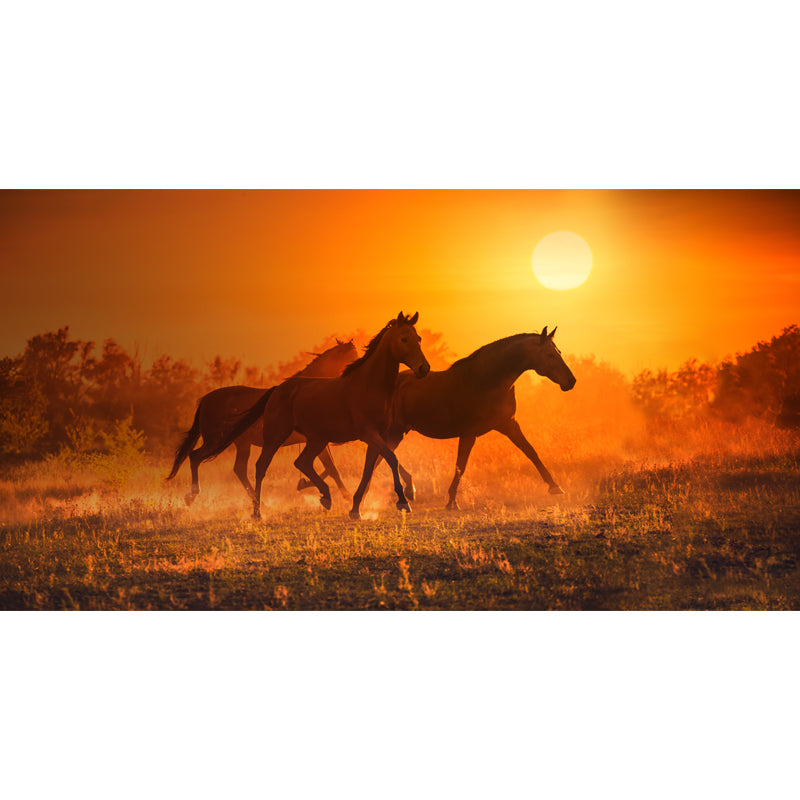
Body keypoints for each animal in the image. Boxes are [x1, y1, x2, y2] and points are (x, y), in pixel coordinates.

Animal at [166, 339, 358, 506]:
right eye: (351, 356)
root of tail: (206, 399)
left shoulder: (316, 441)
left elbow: (331, 468)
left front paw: (306, 485)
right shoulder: (315, 440)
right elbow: (331, 468)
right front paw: (346, 496)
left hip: (241, 443)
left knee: (238, 469)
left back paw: (258, 502)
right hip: (216, 440)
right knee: (196, 457)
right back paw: (192, 495)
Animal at [204, 312, 430, 519]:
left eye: (418, 338)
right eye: (404, 338)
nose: (424, 368)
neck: (369, 385)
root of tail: (277, 389)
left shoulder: (377, 436)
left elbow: (370, 468)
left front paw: (355, 509)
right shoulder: (368, 434)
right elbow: (391, 459)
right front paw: (403, 502)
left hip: (317, 440)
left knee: (302, 462)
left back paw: (326, 496)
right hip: (276, 437)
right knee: (261, 467)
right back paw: (258, 512)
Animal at [348, 326, 576, 516]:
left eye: (559, 352)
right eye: (549, 354)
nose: (571, 381)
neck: (487, 381)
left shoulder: (509, 424)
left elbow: (531, 451)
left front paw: (555, 487)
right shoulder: (469, 433)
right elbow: (461, 466)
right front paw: (451, 502)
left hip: (397, 432)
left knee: (378, 458)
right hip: (392, 430)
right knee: (375, 457)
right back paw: (363, 503)